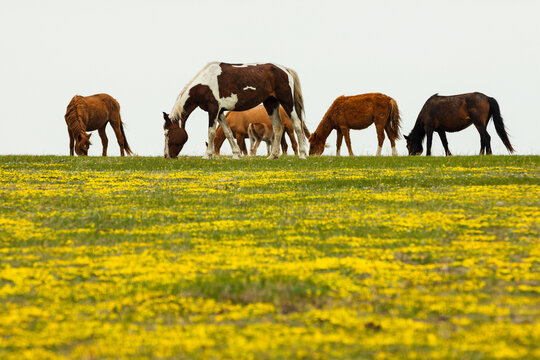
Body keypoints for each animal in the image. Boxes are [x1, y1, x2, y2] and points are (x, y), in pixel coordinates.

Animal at [162, 62, 308, 159]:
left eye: (168, 133)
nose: (167, 156)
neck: (205, 84)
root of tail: (285, 70)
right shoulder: (220, 112)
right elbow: (227, 132)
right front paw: (236, 155)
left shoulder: (213, 109)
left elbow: (211, 132)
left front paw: (207, 155)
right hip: (271, 103)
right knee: (278, 127)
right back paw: (273, 156)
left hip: (287, 102)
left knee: (297, 125)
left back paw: (302, 155)